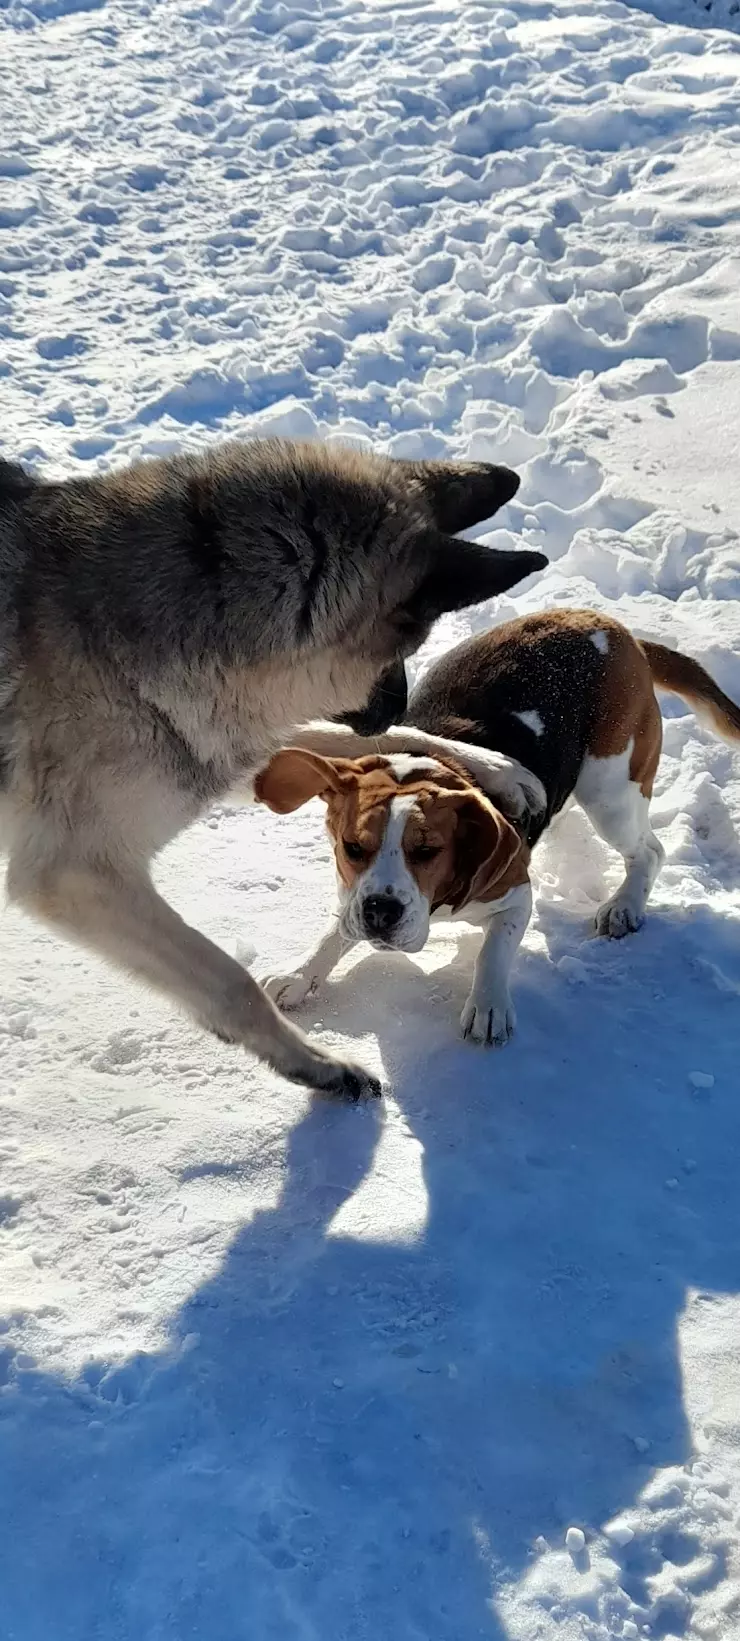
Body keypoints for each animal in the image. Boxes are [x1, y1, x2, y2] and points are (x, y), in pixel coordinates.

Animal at [0, 436, 544, 1102]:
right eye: (402, 647)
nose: (395, 701)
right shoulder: (76, 873)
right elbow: (230, 981)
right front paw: (315, 1064)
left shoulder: (232, 746)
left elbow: (375, 742)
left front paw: (496, 769)